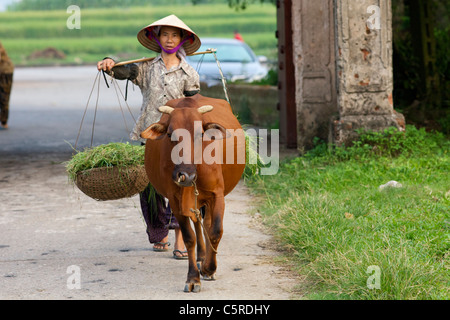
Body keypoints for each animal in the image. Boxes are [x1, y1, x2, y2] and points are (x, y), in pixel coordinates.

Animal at [141, 93, 246, 292]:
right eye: (170, 134)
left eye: (200, 134)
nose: (186, 175)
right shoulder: (175, 200)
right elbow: (189, 237)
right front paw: (193, 278)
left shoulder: (217, 195)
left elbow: (215, 231)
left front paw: (209, 269)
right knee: (198, 225)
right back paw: (201, 256)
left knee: (208, 224)